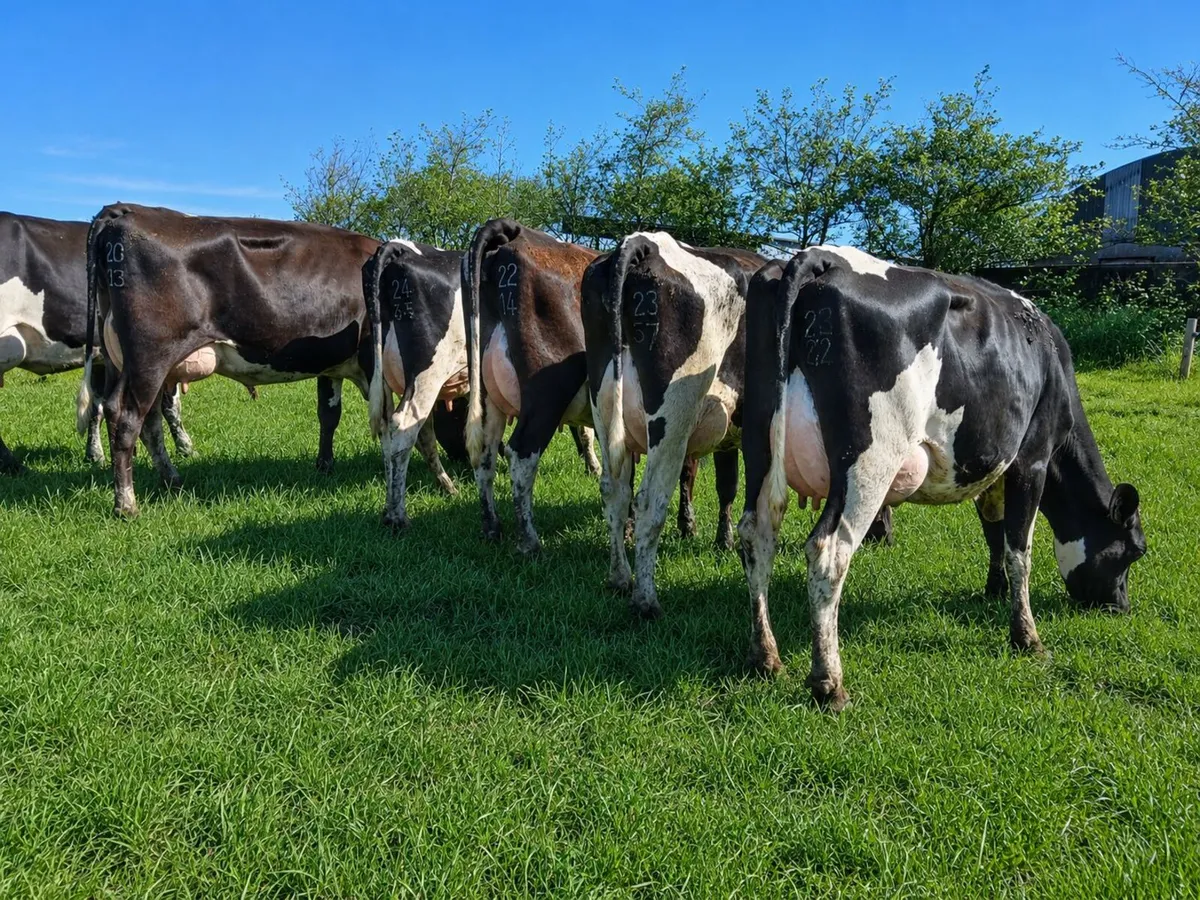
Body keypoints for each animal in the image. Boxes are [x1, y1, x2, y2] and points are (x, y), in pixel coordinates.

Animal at [1, 211, 193, 473]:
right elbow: (170, 405)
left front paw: (96, 455)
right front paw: (186, 447)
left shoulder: (103, 358)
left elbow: (97, 407)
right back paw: (14, 465)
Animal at [77, 204, 380, 518]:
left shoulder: (330, 366)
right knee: (127, 420)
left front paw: (325, 466)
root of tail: (127, 209)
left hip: (122, 360)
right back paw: (126, 505)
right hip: (149, 357)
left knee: (142, 420)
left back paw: (172, 480)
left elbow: (329, 415)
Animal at [582, 232, 765, 618]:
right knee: (649, 501)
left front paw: (719, 539)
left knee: (614, 491)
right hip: (672, 420)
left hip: (604, 405)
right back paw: (646, 600)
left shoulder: (729, 435)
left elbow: (725, 485)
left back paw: (619, 578)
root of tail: (644, 242)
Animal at [738, 245, 1146, 710]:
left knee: (756, 535)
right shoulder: (1032, 458)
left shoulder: (990, 465)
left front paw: (993, 590)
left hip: (758, 442)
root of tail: (819, 257)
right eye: (1134, 551)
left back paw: (765, 657)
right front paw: (1026, 636)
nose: (1120, 607)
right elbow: (1019, 550)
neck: (1052, 364)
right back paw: (829, 683)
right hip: (870, 459)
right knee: (828, 552)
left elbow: (993, 530)